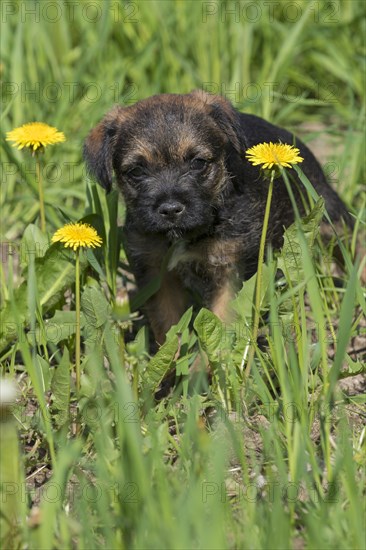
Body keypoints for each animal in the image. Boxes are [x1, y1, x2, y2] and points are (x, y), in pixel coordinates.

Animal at [83, 93, 352, 348]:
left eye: (198, 163)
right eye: (137, 171)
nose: (170, 209)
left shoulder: (231, 271)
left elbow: (222, 322)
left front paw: (211, 365)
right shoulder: (156, 271)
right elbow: (168, 325)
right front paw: (172, 363)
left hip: (331, 219)